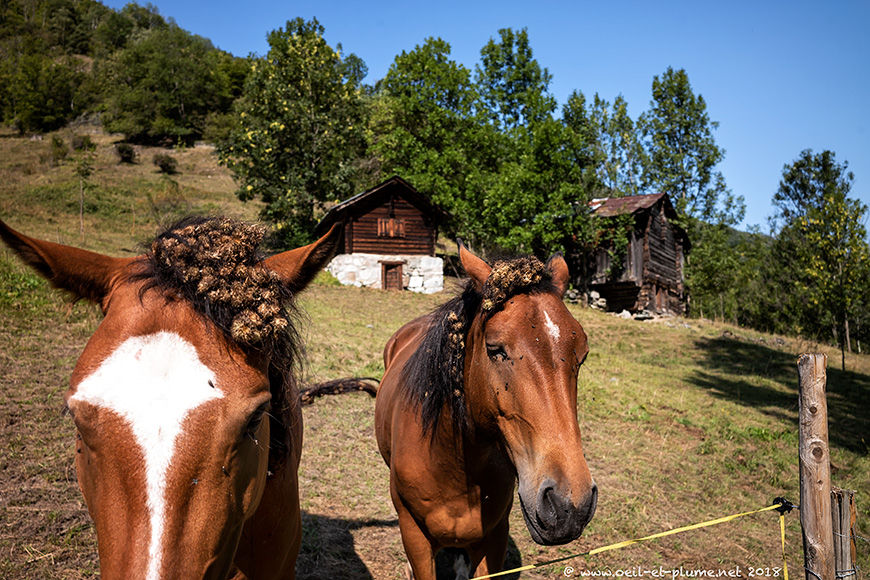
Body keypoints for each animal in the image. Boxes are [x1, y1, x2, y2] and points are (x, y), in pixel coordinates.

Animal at [374, 242, 600, 576]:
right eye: (495, 349)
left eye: (581, 356)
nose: (569, 505)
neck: (451, 465)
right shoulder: (414, 536)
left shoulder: (493, 539)